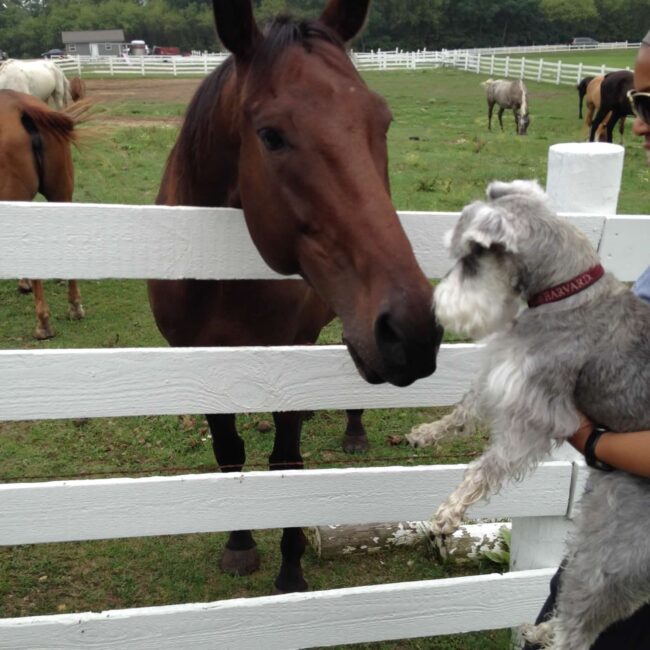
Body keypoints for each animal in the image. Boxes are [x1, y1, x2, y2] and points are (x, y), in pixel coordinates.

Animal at [147, 0, 442, 588]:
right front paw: (240, 545)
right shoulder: (198, 358)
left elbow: (286, 464)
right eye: (271, 135)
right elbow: (229, 452)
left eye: (382, 121)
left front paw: (290, 570)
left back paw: (353, 431)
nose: (414, 330)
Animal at [408, 178, 644, 648]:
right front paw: (429, 431)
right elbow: (465, 409)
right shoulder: (504, 374)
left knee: (583, 624)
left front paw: (449, 513)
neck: (566, 294)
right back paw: (542, 628)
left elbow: (485, 467)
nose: (436, 309)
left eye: (470, 259)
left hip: (617, 542)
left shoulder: (537, 413)